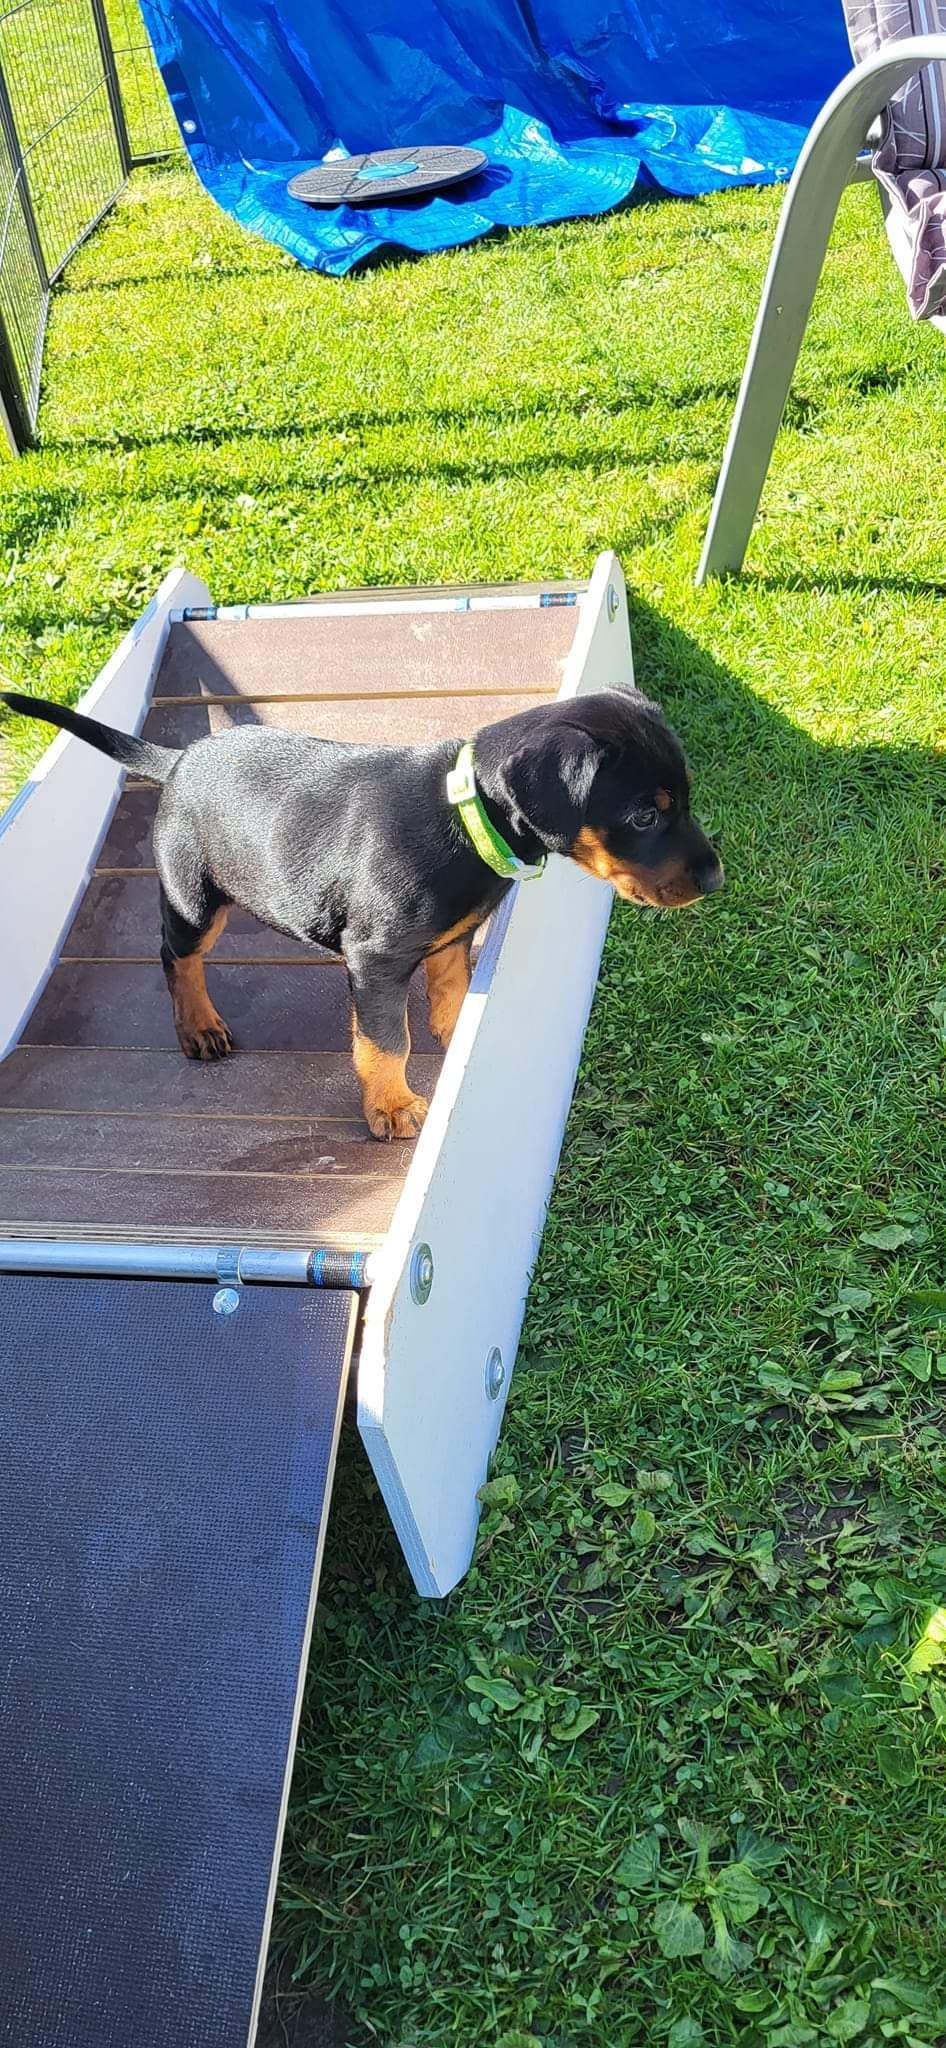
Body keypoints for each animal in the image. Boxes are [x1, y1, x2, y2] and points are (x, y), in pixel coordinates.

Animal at [1, 687, 722, 1139]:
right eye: (644, 815)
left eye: (685, 798)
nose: (716, 877)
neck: (466, 817)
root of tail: (178, 760)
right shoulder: (376, 960)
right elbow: (385, 1040)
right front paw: (393, 1106)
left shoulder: (450, 938)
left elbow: (451, 989)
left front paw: (455, 1034)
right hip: (193, 896)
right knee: (177, 956)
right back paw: (198, 1026)